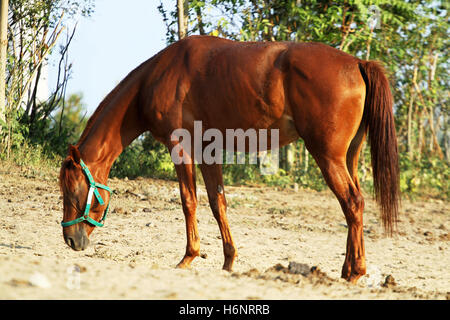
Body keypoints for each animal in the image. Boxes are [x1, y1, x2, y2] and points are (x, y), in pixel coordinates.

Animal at [59, 36, 398, 284]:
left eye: (72, 190)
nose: (71, 240)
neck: (158, 77)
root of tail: (357, 63)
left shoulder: (181, 147)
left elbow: (189, 201)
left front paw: (188, 257)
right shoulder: (208, 149)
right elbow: (217, 202)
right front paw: (228, 260)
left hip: (328, 156)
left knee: (352, 202)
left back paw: (355, 273)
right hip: (348, 157)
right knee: (355, 205)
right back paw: (348, 268)